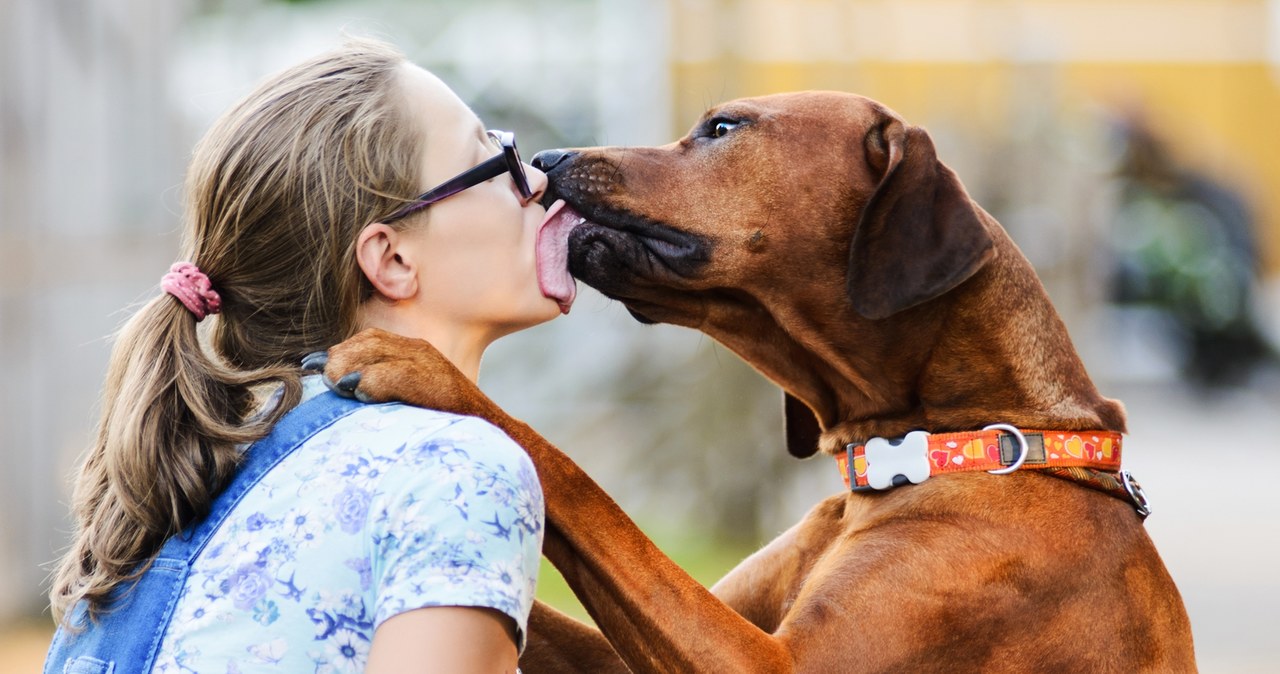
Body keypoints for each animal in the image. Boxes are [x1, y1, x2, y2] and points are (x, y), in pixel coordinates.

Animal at [317, 92, 1187, 670]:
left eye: (723, 129)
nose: (549, 161)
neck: (950, 446)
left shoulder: (774, 663)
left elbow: (582, 487)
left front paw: (427, 367)